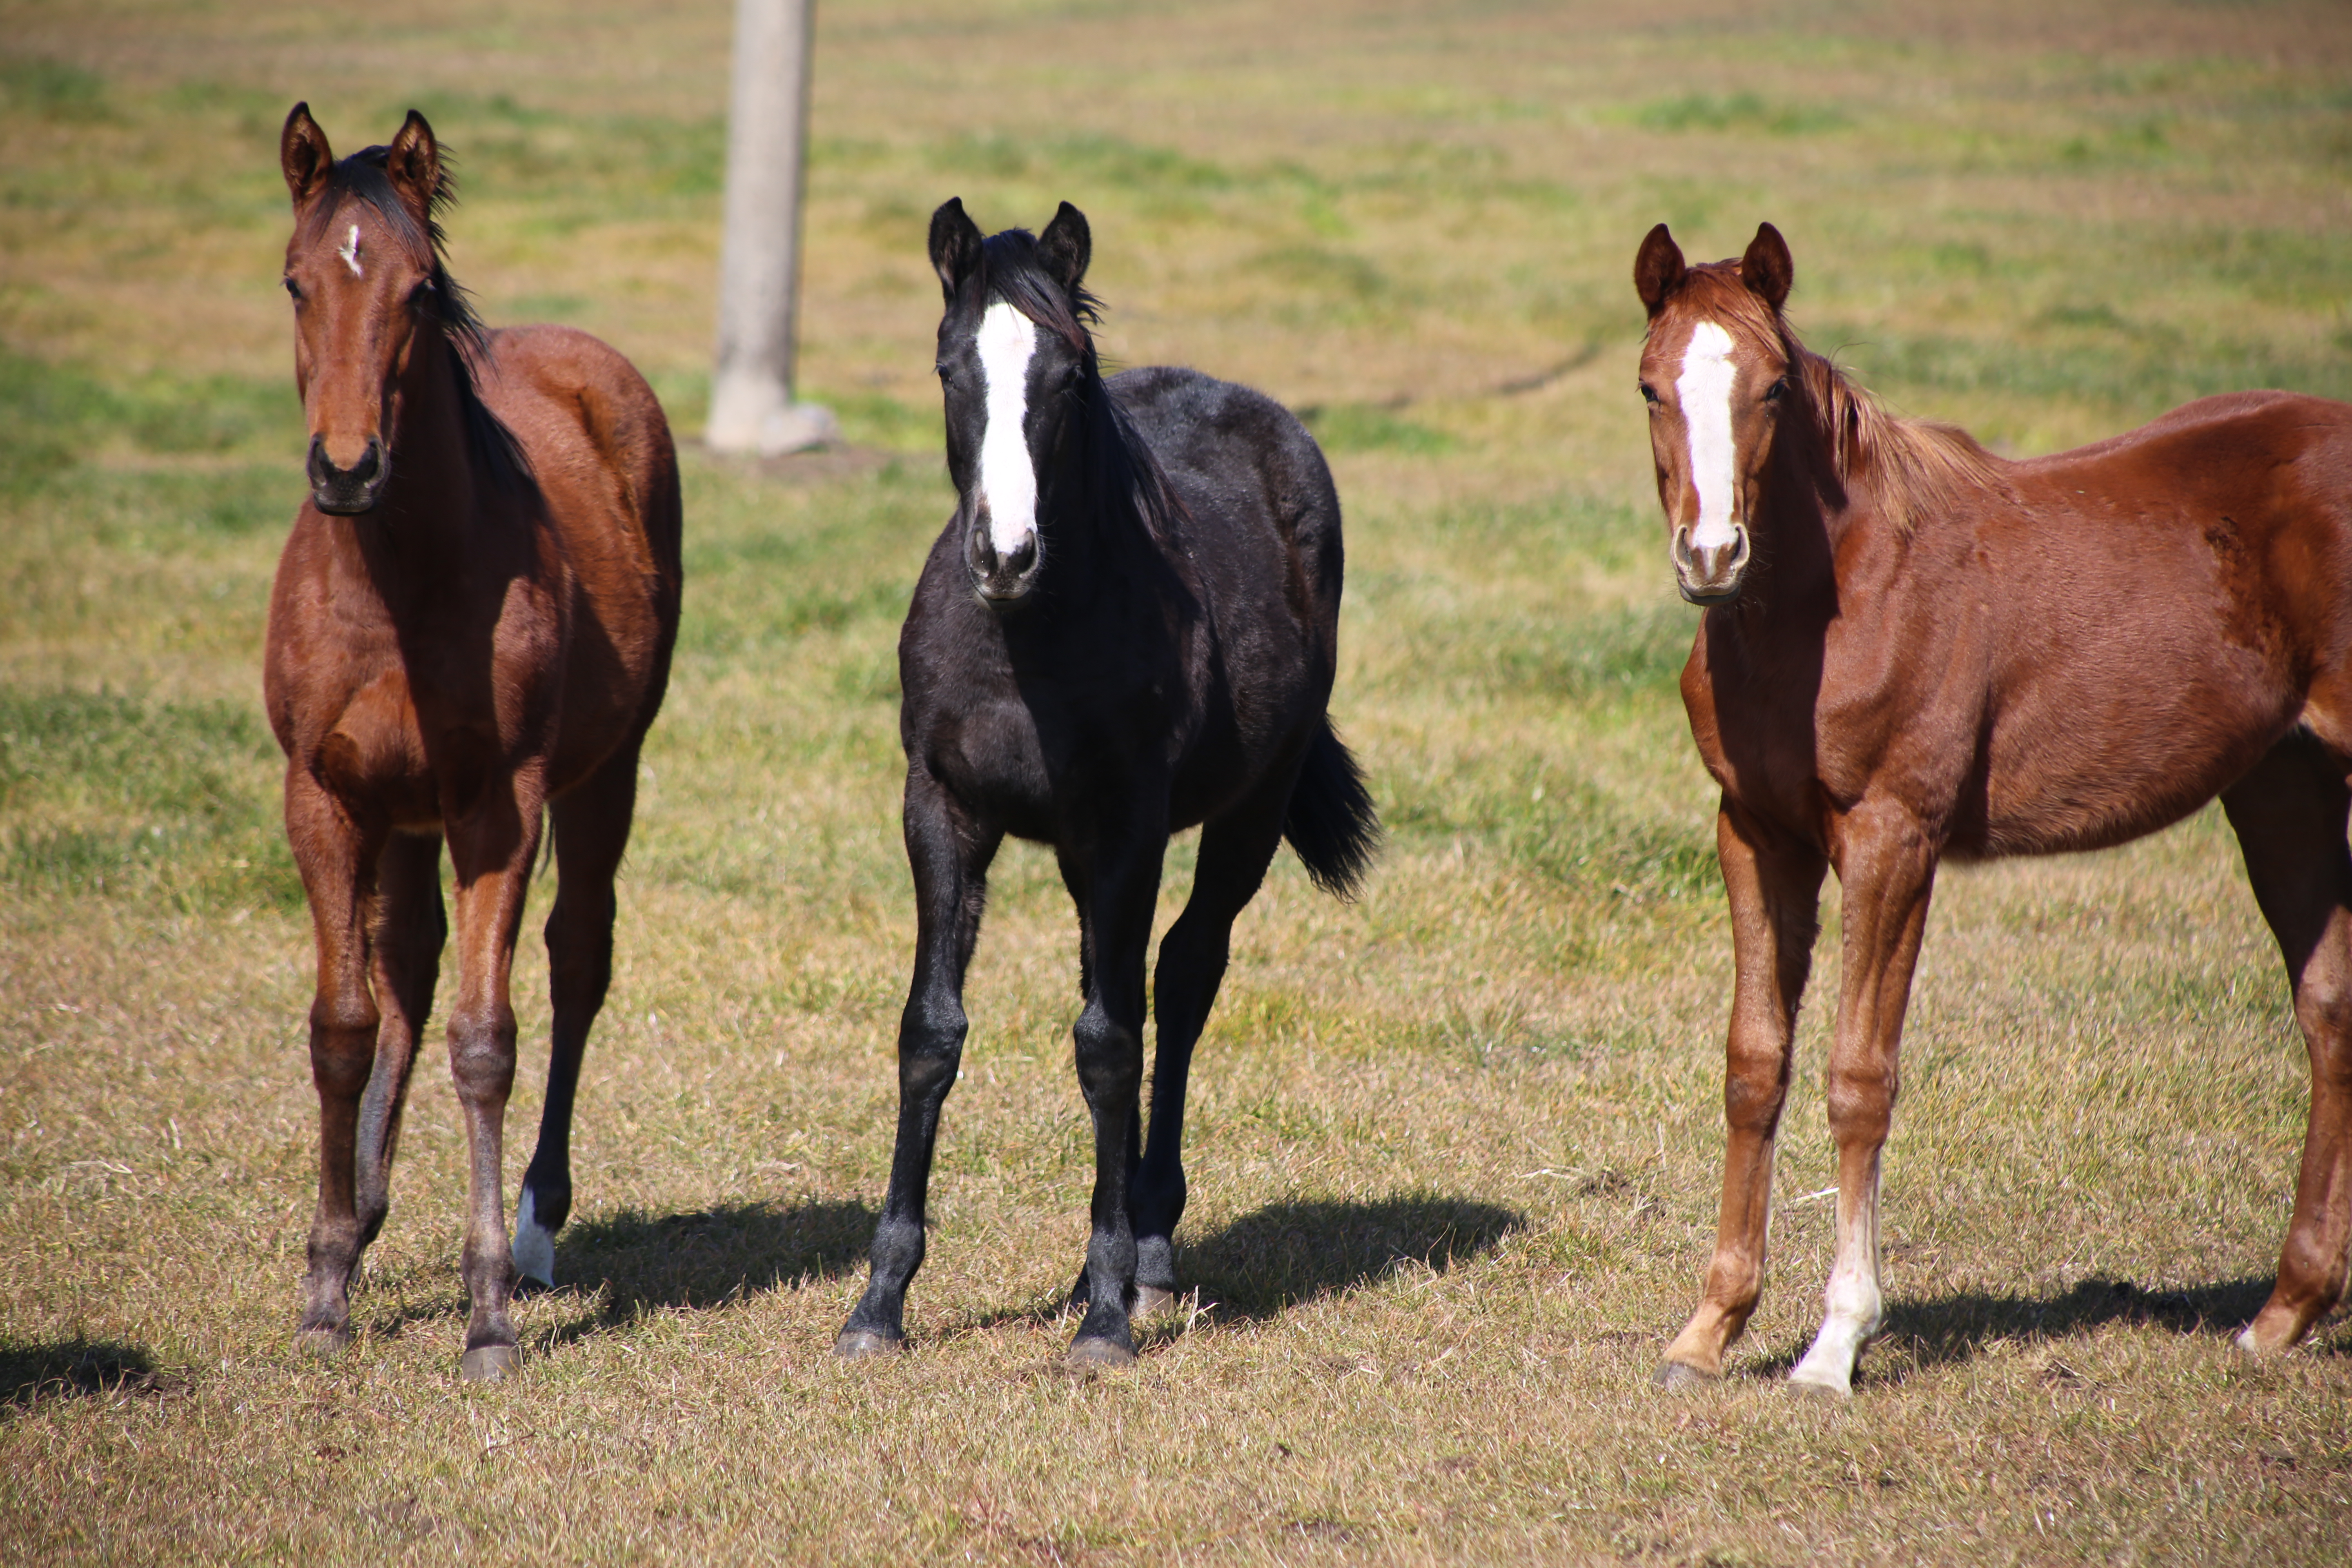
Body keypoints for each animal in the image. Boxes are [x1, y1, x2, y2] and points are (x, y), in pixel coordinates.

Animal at [265, 107, 682, 1382]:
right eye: (296, 282)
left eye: (414, 292)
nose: (347, 466)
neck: (398, 576)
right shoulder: (326, 797)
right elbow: (346, 1027)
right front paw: (325, 1283)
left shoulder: (502, 805)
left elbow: (486, 1039)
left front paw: (489, 1311)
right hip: (406, 811)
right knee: (405, 966)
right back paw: (367, 1212)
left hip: (607, 776)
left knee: (578, 959)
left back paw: (538, 1227)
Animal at [837, 200, 1373, 1373]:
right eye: (949, 367)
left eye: (1070, 377)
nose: (1006, 554)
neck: (1028, 643)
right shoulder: (941, 813)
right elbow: (931, 1034)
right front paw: (878, 1304)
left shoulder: (1128, 828)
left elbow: (1111, 1043)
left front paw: (1105, 1319)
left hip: (1245, 813)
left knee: (1183, 978)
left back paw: (1149, 1250)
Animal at [1637, 221, 2352, 1401]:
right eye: (1649, 386)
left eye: (1774, 387)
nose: (1710, 556)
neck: (1839, 596)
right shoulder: (1754, 833)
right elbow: (1753, 1064)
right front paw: (1707, 1329)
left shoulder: (1892, 838)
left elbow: (1857, 1076)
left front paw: (1834, 1344)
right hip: (2282, 784)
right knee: (2327, 1010)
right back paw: (2281, 1315)